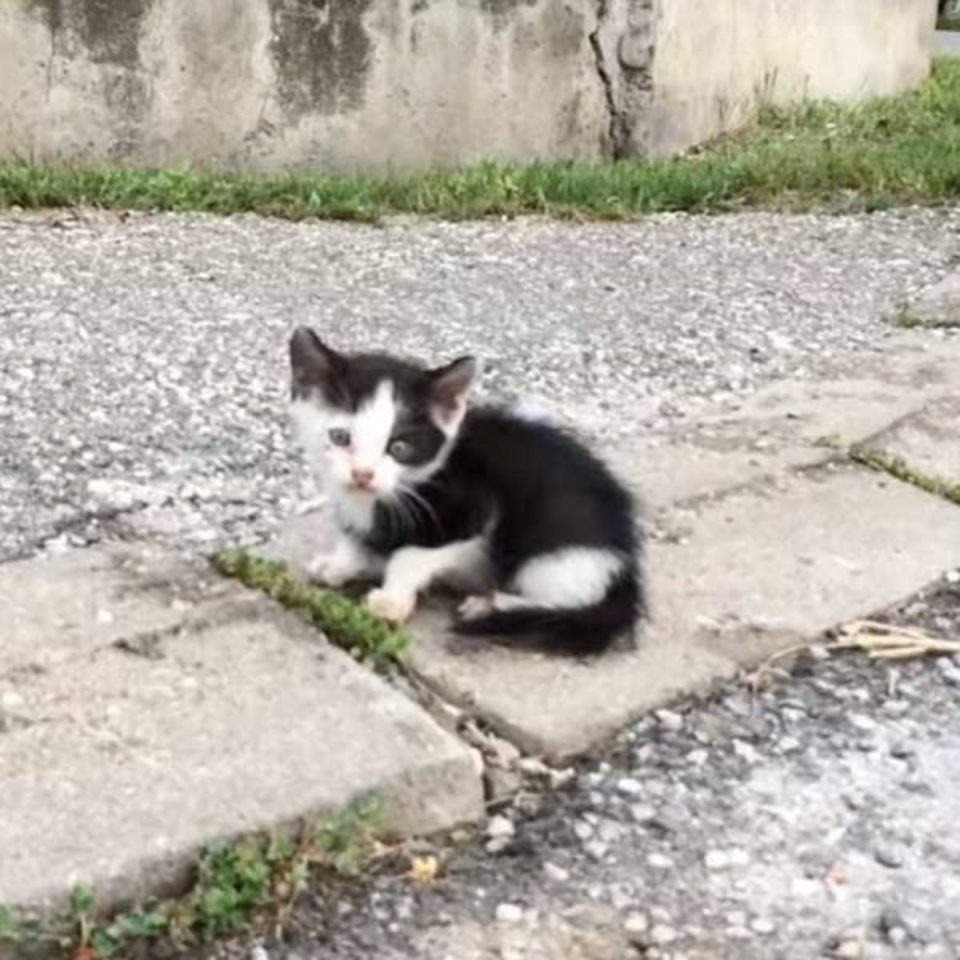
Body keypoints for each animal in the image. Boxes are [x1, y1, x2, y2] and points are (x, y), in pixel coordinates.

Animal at [286, 328, 644, 652]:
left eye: (399, 448)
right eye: (340, 438)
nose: (362, 474)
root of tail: (626, 567)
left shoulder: (475, 511)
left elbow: (410, 555)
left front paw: (391, 598)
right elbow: (356, 537)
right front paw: (341, 562)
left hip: (553, 547)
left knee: (569, 600)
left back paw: (491, 604)